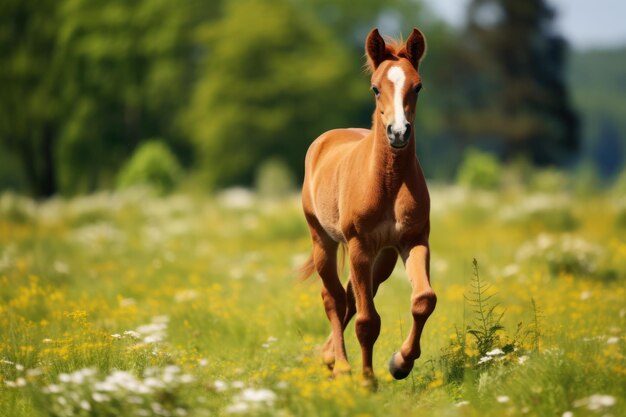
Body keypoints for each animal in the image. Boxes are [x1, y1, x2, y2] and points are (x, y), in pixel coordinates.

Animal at [300, 28, 436, 384]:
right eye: (376, 88)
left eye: (418, 86)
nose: (398, 133)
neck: (388, 182)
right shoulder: (359, 245)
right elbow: (367, 321)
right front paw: (366, 381)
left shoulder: (413, 240)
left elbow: (423, 300)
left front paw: (400, 363)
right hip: (324, 239)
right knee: (334, 299)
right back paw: (342, 366)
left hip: (383, 257)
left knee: (351, 297)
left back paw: (329, 357)